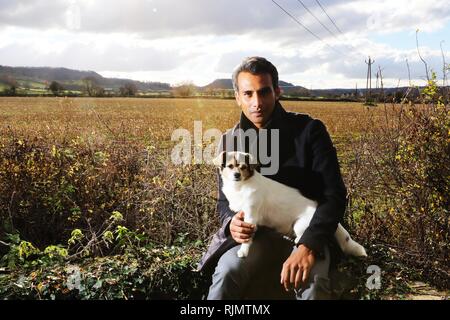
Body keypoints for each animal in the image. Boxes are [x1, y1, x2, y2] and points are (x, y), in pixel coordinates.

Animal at [214, 151, 366, 258]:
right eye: (230, 166)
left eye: (243, 167)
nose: (236, 175)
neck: (241, 186)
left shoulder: (250, 217)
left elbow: (247, 239)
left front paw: (244, 251)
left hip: (299, 225)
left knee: (301, 235)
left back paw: (297, 238)